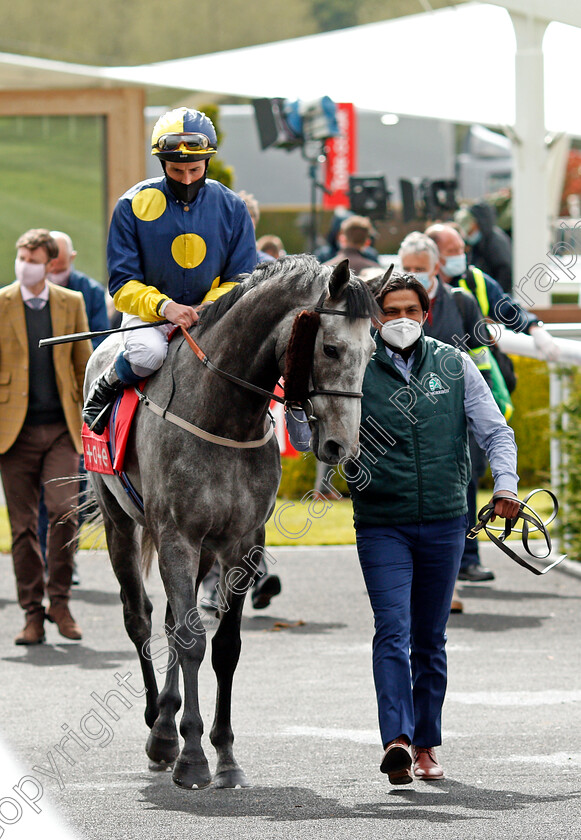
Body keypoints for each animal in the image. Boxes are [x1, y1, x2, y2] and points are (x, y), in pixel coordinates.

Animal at [85, 254, 376, 788]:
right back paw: (156, 726)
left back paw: (165, 723)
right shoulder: (176, 537)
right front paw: (192, 756)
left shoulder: (241, 542)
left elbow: (224, 646)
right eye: (330, 347)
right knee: (140, 617)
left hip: (201, 549)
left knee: (173, 621)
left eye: (372, 352)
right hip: (120, 521)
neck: (223, 416)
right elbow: (192, 641)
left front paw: (222, 753)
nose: (341, 446)